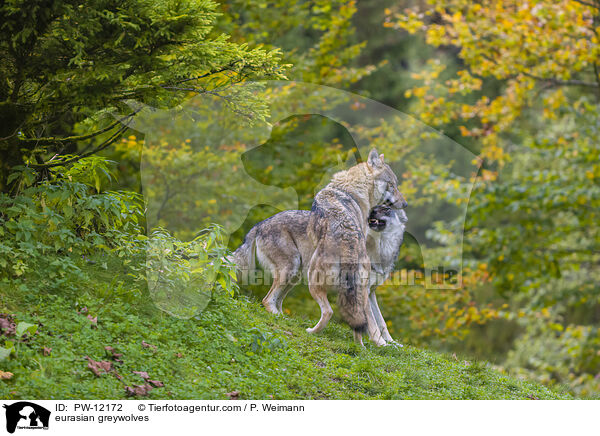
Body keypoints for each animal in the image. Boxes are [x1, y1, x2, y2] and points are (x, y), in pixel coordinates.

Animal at [232, 148, 406, 346]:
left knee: (279, 303)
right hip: (298, 274)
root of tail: (259, 225)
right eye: (392, 185)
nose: (405, 203)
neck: (349, 190)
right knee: (273, 301)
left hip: (299, 275)